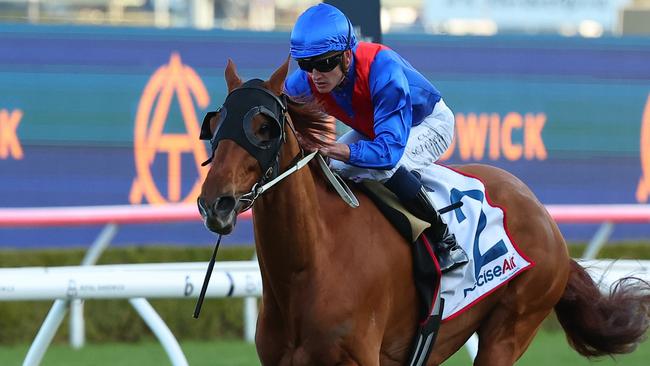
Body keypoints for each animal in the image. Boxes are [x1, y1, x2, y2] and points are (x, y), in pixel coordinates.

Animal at [197, 58, 648, 364]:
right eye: (214, 125)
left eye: (264, 127)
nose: (215, 202)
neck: (311, 264)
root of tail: (542, 214)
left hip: (512, 325)